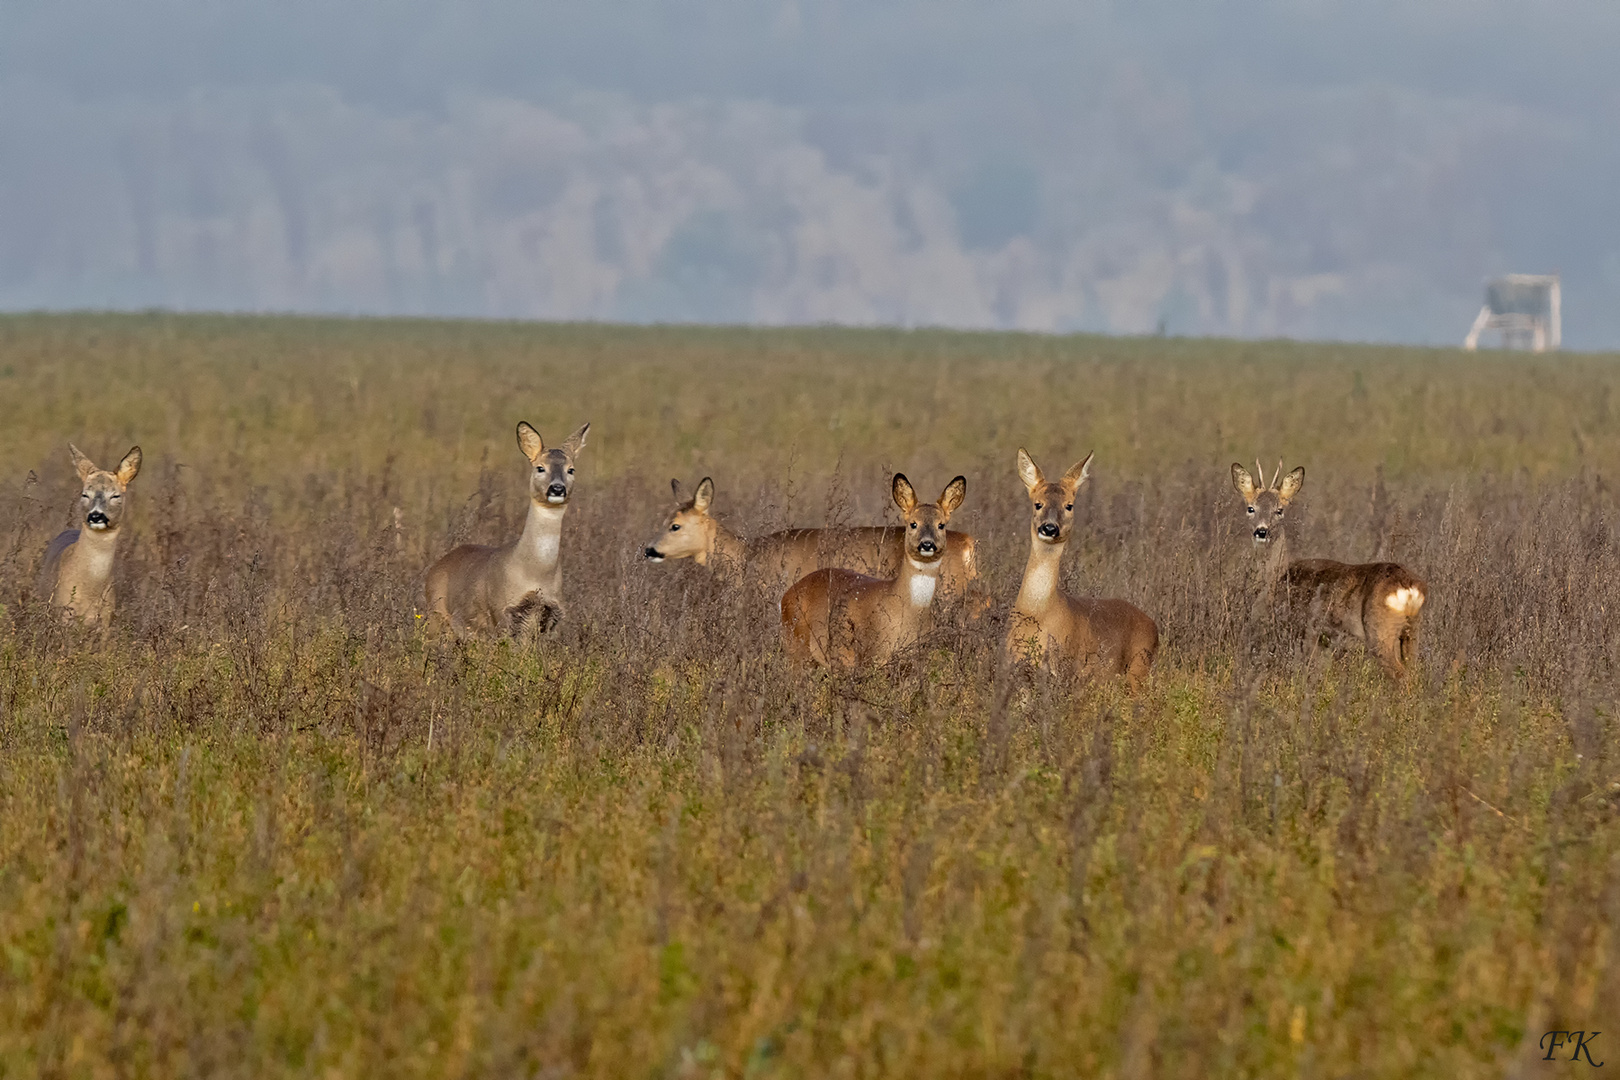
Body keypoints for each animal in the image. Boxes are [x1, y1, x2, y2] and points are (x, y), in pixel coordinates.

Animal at [424, 420, 589, 641]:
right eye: (540, 468)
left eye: (571, 470)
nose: (557, 489)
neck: (535, 572)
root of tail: (434, 568)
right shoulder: (501, 611)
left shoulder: (553, 616)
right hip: (436, 616)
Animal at [780, 472, 965, 667]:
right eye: (913, 524)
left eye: (941, 525)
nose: (927, 544)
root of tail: (786, 595)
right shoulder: (872, 655)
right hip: (796, 646)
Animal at [1004, 450, 1159, 689]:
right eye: (1038, 504)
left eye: (1069, 505)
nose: (1049, 528)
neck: (1036, 613)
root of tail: (1154, 626)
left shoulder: (1066, 669)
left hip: (1138, 667)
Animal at [1231, 459, 1425, 680]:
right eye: (1250, 508)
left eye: (1279, 510)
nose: (1262, 531)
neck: (1277, 578)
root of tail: (1409, 587)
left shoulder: (1307, 630)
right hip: (1412, 632)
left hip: (1380, 631)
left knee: (1402, 675)